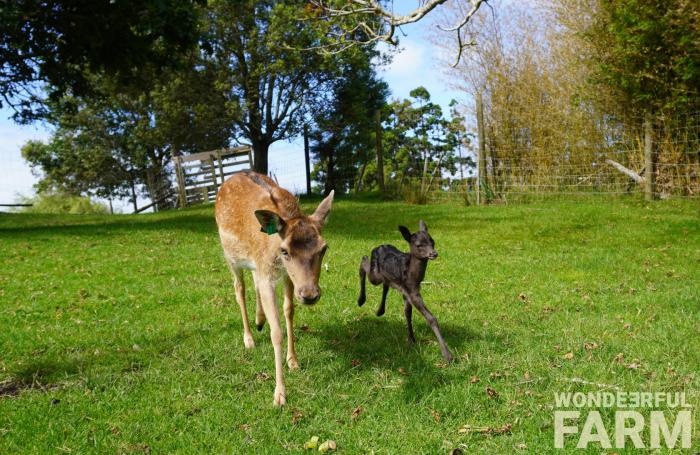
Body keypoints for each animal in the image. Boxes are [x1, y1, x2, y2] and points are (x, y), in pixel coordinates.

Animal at [215, 171, 334, 406]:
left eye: (324, 248)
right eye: (285, 251)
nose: (310, 295)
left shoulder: (287, 276)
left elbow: (289, 311)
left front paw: (293, 361)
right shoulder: (267, 273)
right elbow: (276, 331)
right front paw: (279, 395)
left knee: (253, 282)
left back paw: (259, 320)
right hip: (230, 257)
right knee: (239, 289)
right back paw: (249, 338)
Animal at [357, 220, 453, 362]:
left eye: (433, 242)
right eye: (419, 245)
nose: (433, 253)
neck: (413, 277)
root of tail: (377, 247)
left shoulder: (408, 291)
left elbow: (408, 313)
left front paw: (411, 340)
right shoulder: (412, 292)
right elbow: (431, 318)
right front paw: (447, 355)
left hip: (387, 278)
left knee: (385, 284)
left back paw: (380, 311)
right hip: (375, 275)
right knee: (364, 261)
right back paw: (361, 300)